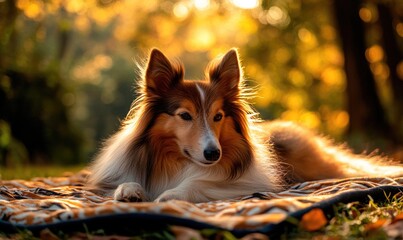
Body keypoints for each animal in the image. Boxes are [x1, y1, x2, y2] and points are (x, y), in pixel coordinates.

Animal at [88, 48, 403, 202]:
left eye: (218, 116)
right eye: (185, 115)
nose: (213, 154)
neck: (178, 161)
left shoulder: (245, 182)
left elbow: (198, 182)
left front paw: (171, 194)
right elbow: (126, 181)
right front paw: (129, 191)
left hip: (318, 166)